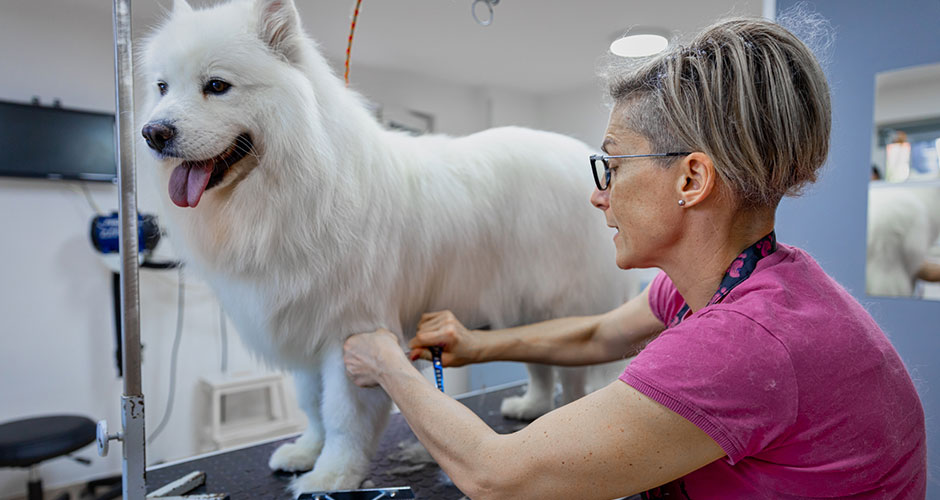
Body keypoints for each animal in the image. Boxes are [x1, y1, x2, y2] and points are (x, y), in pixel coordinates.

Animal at [140, 0, 636, 492]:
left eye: (216, 86)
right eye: (162, 87)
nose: (153, 133)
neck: (291, 186)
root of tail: (579, 156)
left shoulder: (350, 331)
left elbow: (343, 416)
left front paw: (332, 475)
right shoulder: (302, 322)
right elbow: (311, 405)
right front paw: (305, 453)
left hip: (564, 299)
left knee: (571, 374)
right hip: (524, 303)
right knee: (540, 361)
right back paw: (531, 405)